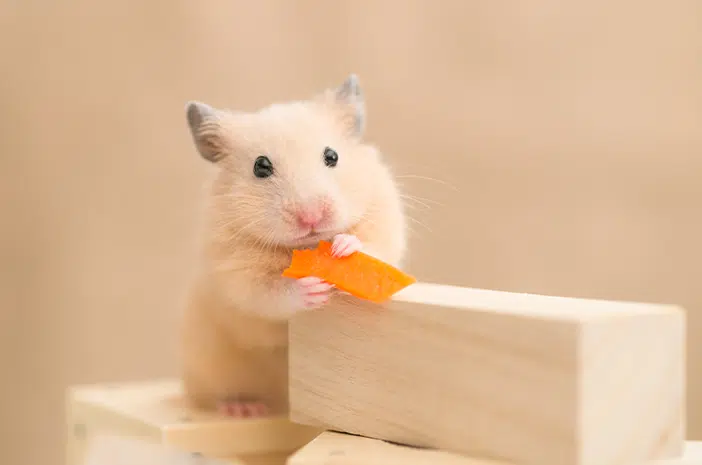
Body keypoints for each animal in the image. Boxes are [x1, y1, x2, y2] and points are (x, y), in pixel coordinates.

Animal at [180, 75, 407, 417]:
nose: (311, 216)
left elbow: (375, 244)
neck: (308, 247)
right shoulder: (236, 271)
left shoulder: (383, 215)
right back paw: (244, 408)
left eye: (332, 156)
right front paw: (313, 288)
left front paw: (344, 246)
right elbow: (269, 292)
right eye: (261, 166)